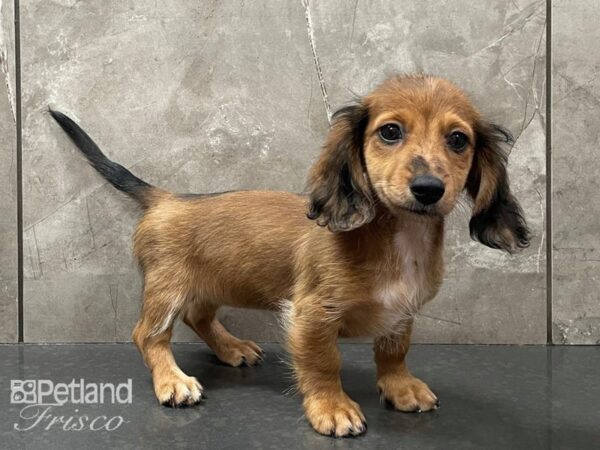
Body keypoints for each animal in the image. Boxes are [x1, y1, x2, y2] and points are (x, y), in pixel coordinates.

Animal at [51, 74, 528, 440]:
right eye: (390, 132)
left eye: (458, 139)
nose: (429, 189)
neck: (395, 236)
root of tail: (167, 198)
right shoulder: (312, 314)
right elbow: (324, 362)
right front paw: (332, 408)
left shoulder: (401, 312)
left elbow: (394, 351)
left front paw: (400, 387)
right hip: (166, 290)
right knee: (148, 335)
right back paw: (172, 380)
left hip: (213, 283)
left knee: (199, 316)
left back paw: (232, 347)